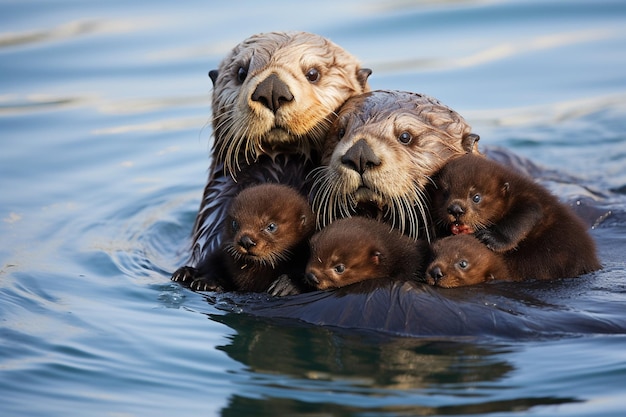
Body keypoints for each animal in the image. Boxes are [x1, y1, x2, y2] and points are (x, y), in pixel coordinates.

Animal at [183, 184, 314, 290]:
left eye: (271, 226)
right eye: (235, 224)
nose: (246, 241)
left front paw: (286, 286)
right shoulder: (222, 253)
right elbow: (211, 262)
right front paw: (205, 281)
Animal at [428, 153, 600, 280]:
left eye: (476, 197)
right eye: (445, 194)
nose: (456, 209)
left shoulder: (527, 199)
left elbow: (524, 217)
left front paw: (490, 238)